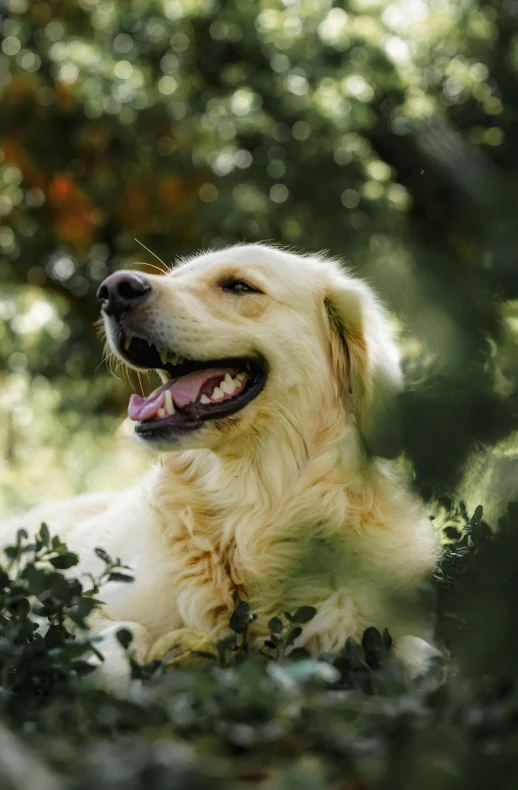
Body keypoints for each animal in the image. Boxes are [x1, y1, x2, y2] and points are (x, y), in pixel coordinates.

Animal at [0, 244, 440, 684]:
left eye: (239, 286)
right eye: (176, 277)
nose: (113, 290)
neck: (250, 514)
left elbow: (421, 652)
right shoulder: (61, 611)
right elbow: (124, 632)